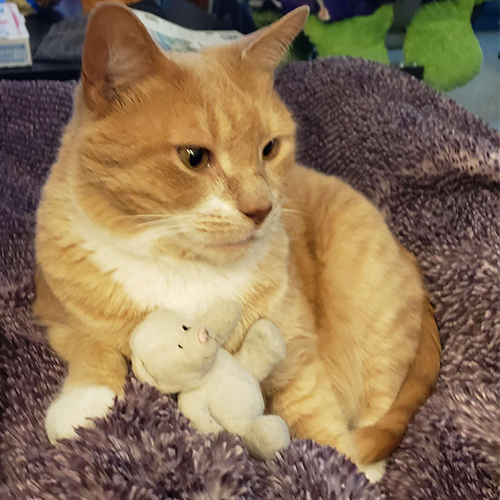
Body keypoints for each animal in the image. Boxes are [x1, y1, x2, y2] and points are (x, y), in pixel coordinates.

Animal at [35, 2, 440, 480]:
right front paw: (85, 402)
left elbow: (318, 419)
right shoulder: (53, 310)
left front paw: (341, 469)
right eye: (194, 157)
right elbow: (88, 343)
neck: (183, 266)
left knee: (381, 400)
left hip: (366, 302)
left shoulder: (299, 355)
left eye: (269, 149)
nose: (261, 209)